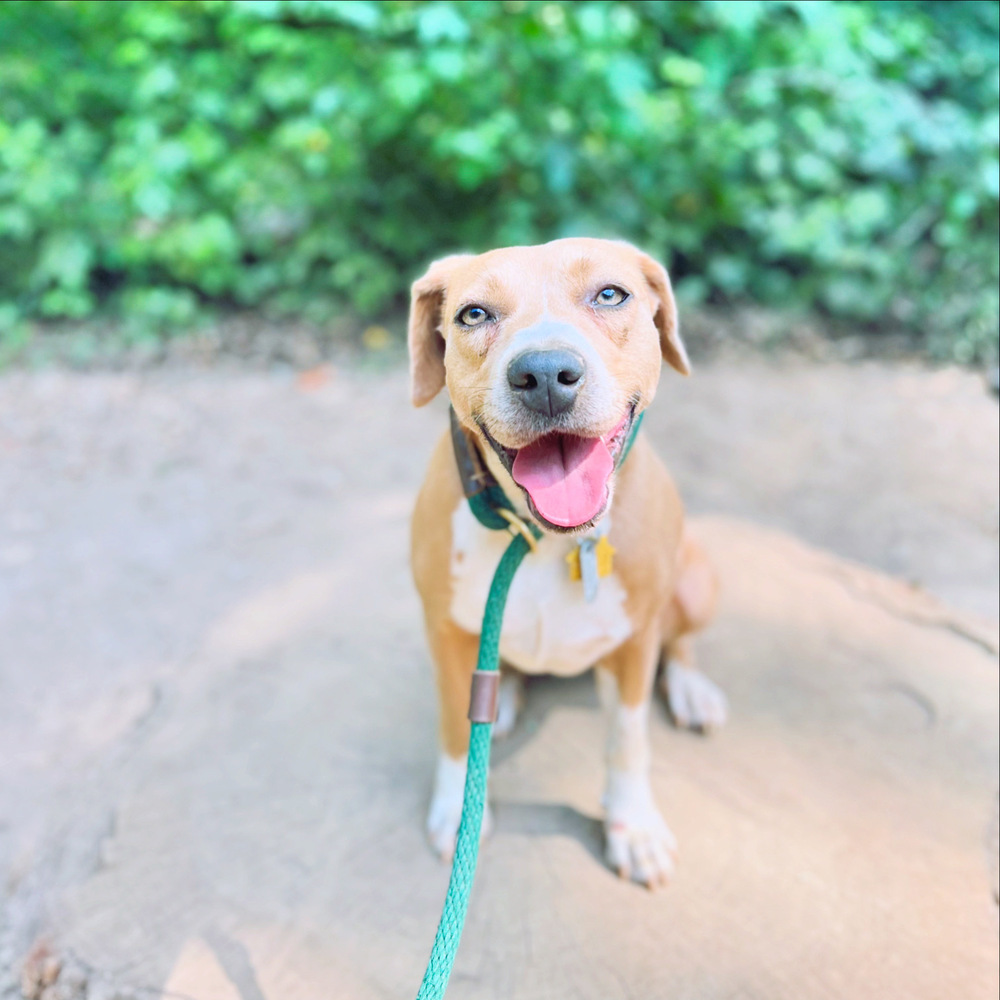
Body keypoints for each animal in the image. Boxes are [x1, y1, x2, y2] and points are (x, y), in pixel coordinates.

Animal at [406, 238, 728, 888]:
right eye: (473, 314)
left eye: (610, 294)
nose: (546, 374)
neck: (540, 537)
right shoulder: (445, 631)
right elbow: (454, 728)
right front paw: (457, 813)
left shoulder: (633, 644)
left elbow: (627, 739)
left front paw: (634, 826)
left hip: (694, 581)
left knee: (679, 642)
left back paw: (691, 689)